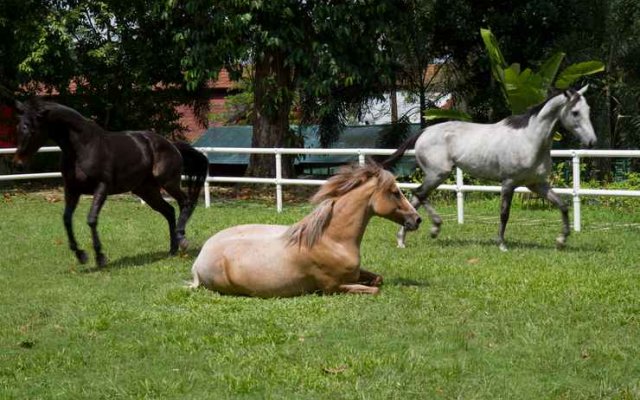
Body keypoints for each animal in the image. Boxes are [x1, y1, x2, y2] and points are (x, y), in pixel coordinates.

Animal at [14, 98, 208, 268]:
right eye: (18, 127)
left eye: (30, 128)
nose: (18, 163)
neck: (83, 147)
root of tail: (171, 145)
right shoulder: (72, 190)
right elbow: (67, 219)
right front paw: (81, 255)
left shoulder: (102, 187)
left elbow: (91, 219)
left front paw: (100, 257)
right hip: (146, 191)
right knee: (169, 211)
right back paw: (172, 249)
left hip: (168, 182)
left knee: (186, 202)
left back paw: (182, 239)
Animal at [190, 162, 420, 296]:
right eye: (395, 192)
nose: (417, 220)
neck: (331, 241)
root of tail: (198, 261)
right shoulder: (332, 288)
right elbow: (374, 290)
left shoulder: (355, 274)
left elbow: (378, 279)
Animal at [382, 86, 596, 252]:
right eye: (575, 112)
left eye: (588, 109)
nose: (592, 142)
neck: (529, 140)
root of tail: (424, 131)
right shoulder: (509, 183)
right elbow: (504, 213)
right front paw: (501, 244)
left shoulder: (536, 184)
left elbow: (563, 205)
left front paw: (561, 241)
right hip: (438, 174)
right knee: (419, 193)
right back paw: (432, 229)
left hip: (438, 175)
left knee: (417, 198)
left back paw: (404, 239)